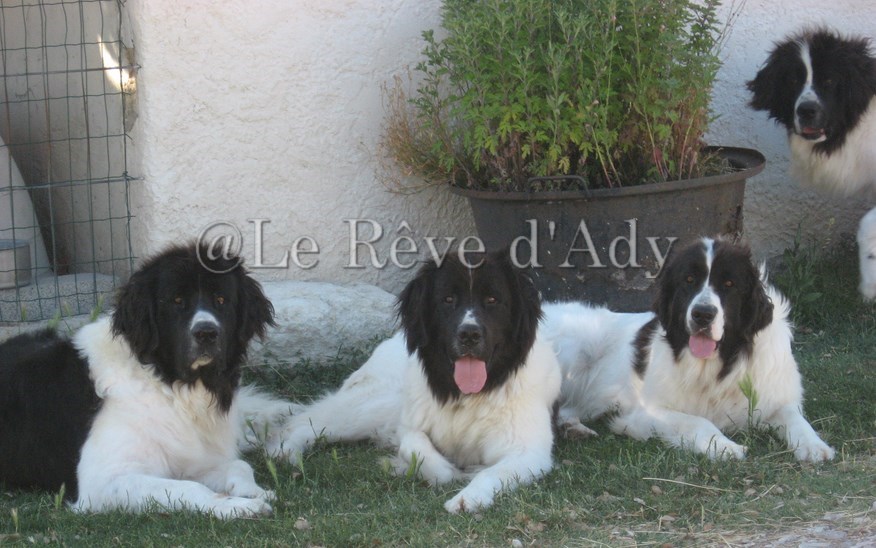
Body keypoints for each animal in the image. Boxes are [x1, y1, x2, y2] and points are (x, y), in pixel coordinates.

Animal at [0, 243, 284, 518]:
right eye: (176, 301)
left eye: (221, 300)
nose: (206, 333)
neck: (167, 384)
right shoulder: (103, 481)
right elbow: (189, 488)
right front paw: (236, 507)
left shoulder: (191, 455)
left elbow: (239, 465)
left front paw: (254, 491)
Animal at [262, 250, 561, 513]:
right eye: (448, 299)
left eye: (492, 299)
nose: (469, 334)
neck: (464, 395)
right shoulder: (409, 424)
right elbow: (425, 455)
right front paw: (434, 470)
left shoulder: (529, 452)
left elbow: (491, 473)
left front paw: (468, 496)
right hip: (380, 402)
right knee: (305, 422)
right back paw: (285, 451)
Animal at [543, 238, 835, 462]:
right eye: (689, 280)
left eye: (729, 285)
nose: (703, 314)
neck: (721, 364)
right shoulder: (646, 411)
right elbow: (698, 421)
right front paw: (726, 446)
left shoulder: (772, 396)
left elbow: (794, 417)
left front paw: (814, 445)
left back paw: (572, 427)